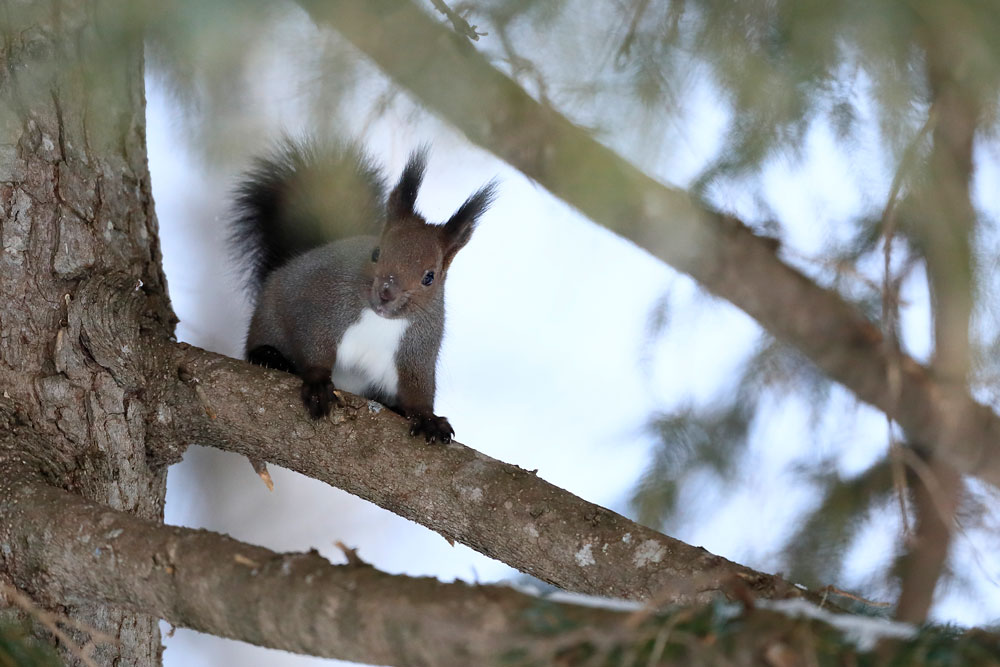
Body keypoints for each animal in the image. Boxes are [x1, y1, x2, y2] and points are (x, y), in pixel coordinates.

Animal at [230, 138, 496, 443]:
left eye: (430, 277)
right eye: (376, 252)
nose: (386, 292)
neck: (379, 319)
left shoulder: (419, 345)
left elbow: (417, 385)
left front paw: (428, 419)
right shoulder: (320, 306)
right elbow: (313, 344)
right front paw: (318, 383)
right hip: (269, 317)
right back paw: (268, 356)